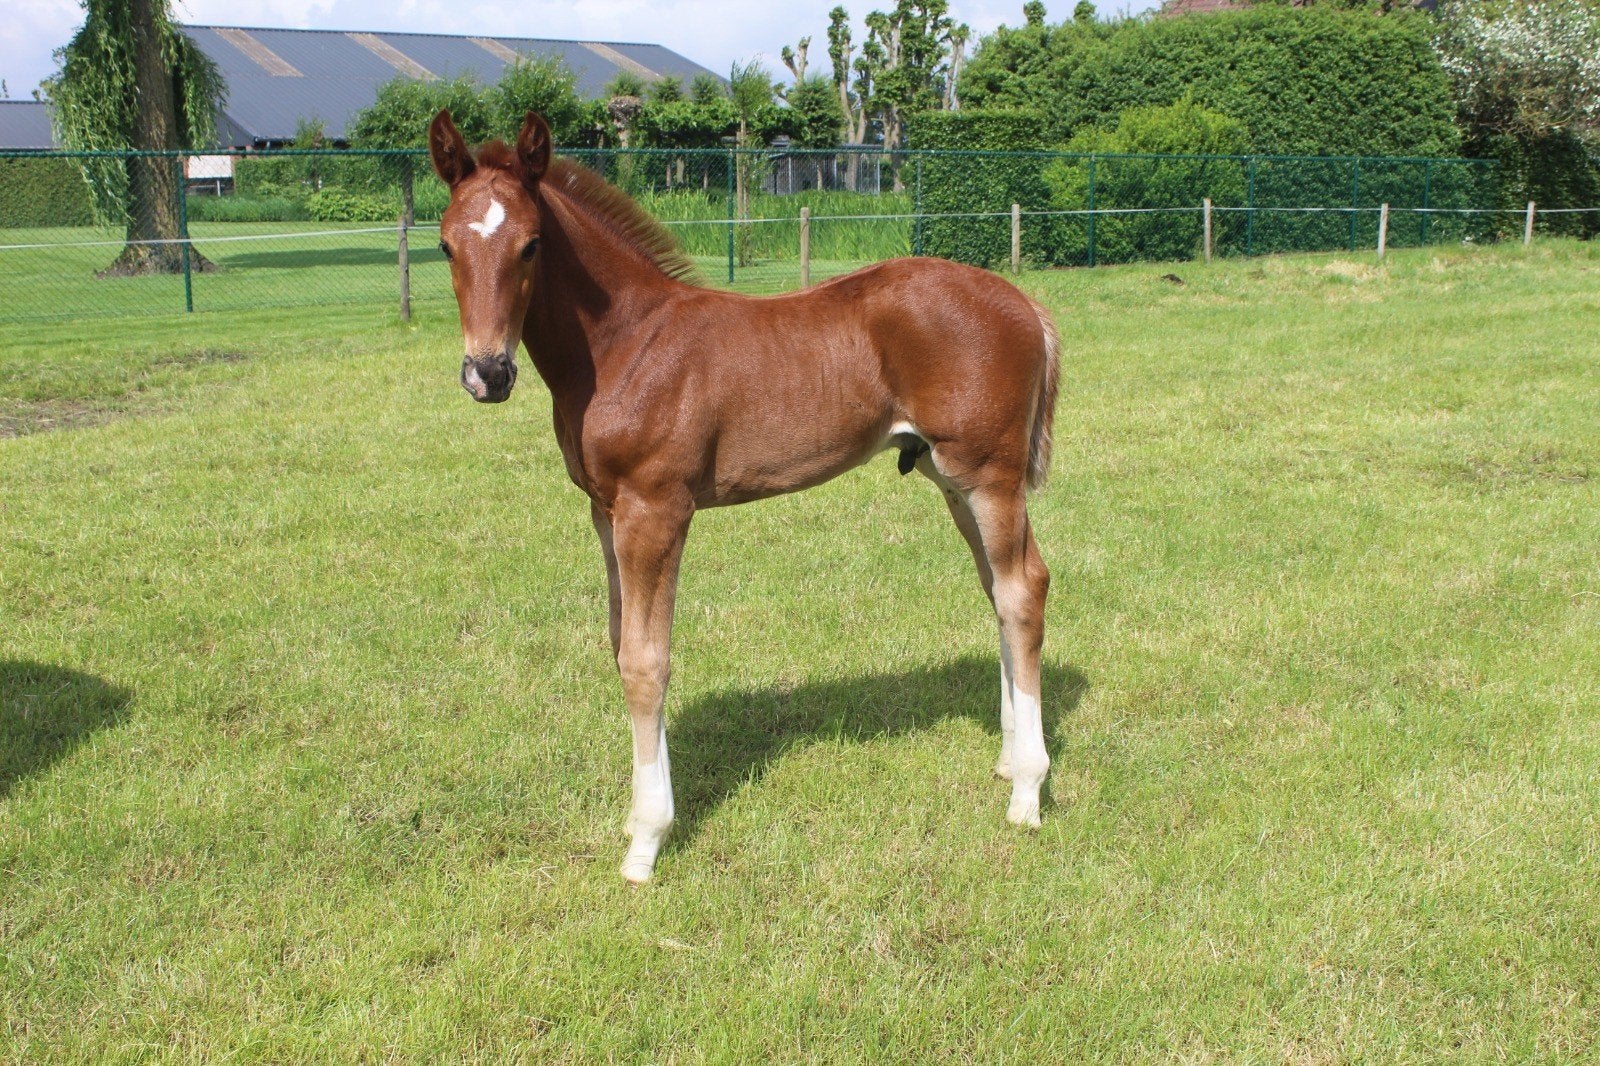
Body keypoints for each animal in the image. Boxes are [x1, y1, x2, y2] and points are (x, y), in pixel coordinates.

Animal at [428, 109, 1060, 883]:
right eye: (446, 244)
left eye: (531, 244)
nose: (487, 373)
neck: (624, 344)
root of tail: (1026, 304)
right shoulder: (605, 511)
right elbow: (620, 643)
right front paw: (640, 818)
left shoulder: (656, 509)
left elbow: (646, 662)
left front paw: (646, 840)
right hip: (952, 479)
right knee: (998, 590)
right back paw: (1007, 760)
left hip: (990, 475)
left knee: (1022, 591)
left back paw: (1027, 792)